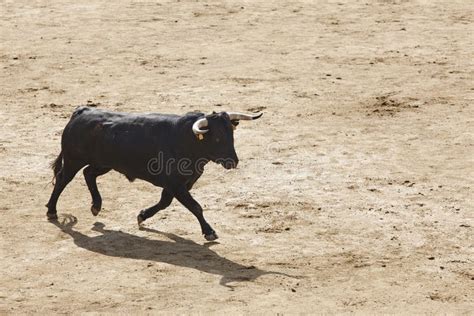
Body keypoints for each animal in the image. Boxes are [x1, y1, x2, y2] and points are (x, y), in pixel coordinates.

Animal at [45, 107, 262, 241]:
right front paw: (209, 232)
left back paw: (96, 206)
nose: (233, 162)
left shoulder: (179, 185)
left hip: (104, 163)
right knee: (63, 179)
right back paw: (52, 210)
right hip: (73, 160)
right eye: (216, 138)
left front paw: (142, 216)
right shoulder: (176, 185)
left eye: (231, 135)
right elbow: (195, 206)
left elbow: (165, 203)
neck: (187, 140)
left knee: (89, 174)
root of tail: (81, 112)